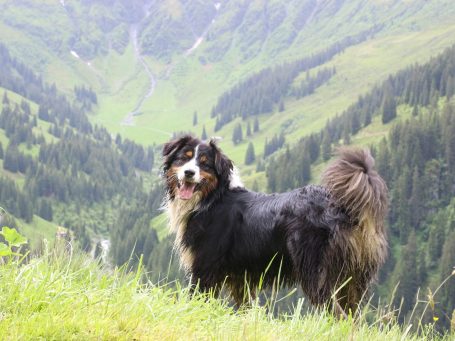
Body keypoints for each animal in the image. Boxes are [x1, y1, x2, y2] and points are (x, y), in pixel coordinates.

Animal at [162, 134, 386, 312]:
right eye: (184, 158)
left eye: (205, 163)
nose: (189, 173)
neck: (212, 198)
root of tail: (344, 208)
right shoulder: (240, 279)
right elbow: (246, 310)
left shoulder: (204, 268)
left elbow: (196, 301)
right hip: (353, 281)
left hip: (316, 274)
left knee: (336, 313)